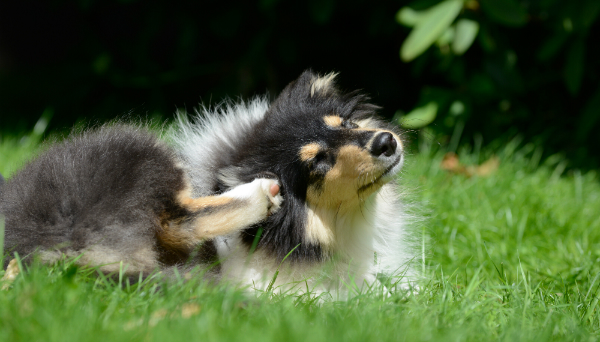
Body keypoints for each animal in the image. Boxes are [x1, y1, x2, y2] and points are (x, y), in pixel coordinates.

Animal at [1, 69, 418, 296]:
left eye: (345, 124)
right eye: (318, 161)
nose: (386, 142)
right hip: (135, 147)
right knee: (177, 221)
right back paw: (259, 194)